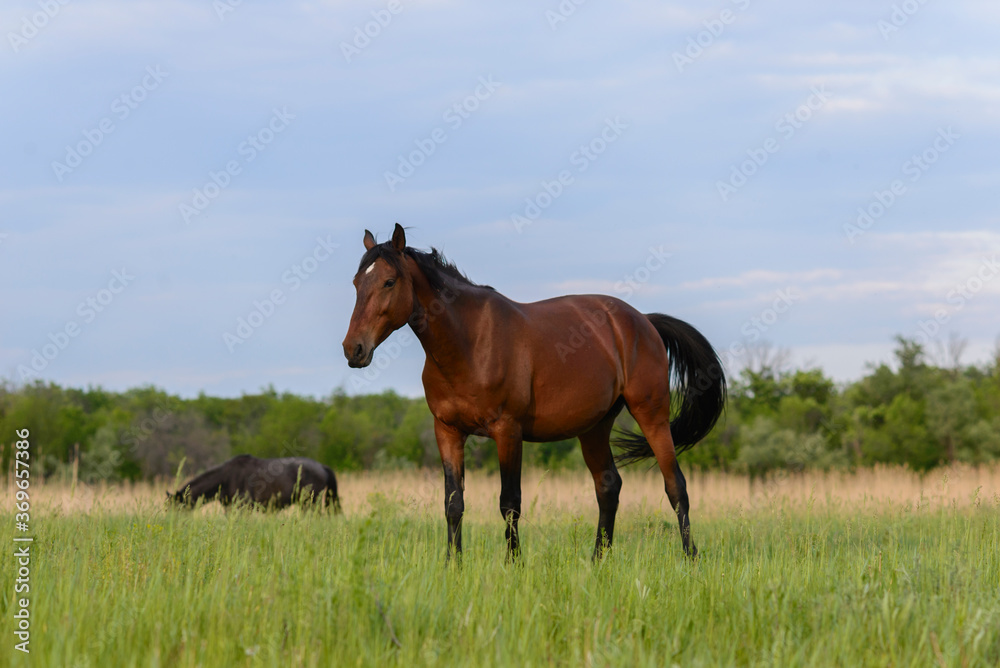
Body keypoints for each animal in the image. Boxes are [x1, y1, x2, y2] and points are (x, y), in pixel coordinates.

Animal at [340, 224, 724, 560]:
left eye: (389, 281)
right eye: (357, 282)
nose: (353, 349)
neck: (469, 342)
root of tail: (643, 321)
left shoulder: (508, 431)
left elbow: (509, 503)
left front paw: (513, 564)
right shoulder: (447, 431)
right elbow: (453, 503)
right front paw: (453, 565)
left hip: (652, 415)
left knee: (675, 487)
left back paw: (691, 559)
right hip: (594, 427)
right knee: (608, 487)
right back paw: (598, 561)